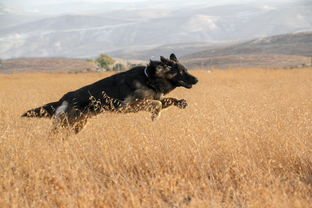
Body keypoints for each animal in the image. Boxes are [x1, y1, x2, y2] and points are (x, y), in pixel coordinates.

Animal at [21, 53, 197, 133]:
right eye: (181, 72)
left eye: (186, 70)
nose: (197, 80)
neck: (150, 78)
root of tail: (63, 98)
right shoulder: (130, 106)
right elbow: (158, 103)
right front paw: (155, 115)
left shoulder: (151, 98)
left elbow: (167, 100)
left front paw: (181, 102)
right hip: (67, 124)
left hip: (78, 125)